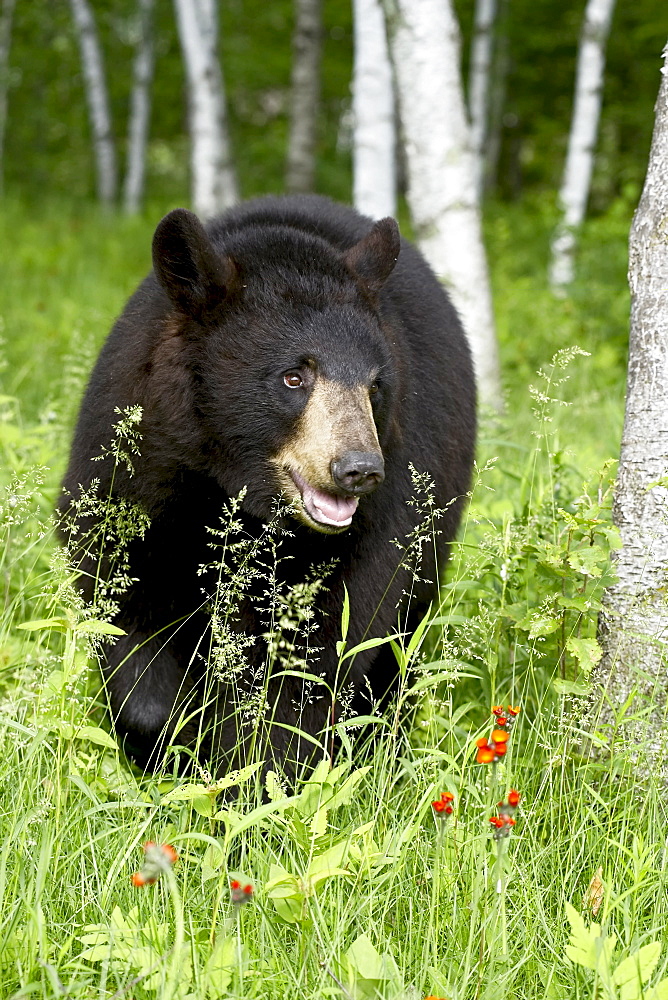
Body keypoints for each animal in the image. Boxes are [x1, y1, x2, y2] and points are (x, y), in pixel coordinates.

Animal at [57, 193, 474, 772]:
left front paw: (260, 770)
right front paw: (169, 743)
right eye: (294, 376)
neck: (234, 490)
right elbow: (126, 600)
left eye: (374, 384)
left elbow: (325, 652)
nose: (359, 469)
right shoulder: (140, 475)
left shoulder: (381, 521)